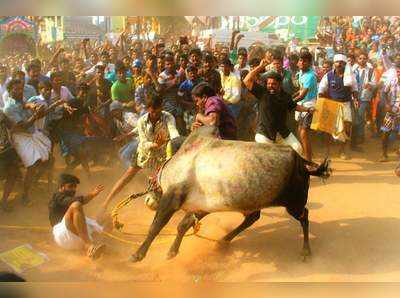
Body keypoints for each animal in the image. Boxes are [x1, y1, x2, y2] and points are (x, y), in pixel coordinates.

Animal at [129, 125, 332, 264]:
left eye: (150, 182)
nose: (147, 200)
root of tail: (301, 162)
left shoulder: (171, 199)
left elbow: (155, 227)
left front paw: (138, 254)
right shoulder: (202, 206)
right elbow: (182, 226)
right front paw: (172, 252)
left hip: (294, 204)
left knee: (304, 216)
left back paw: (306, 250)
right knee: (252, 218)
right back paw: (224, 240)